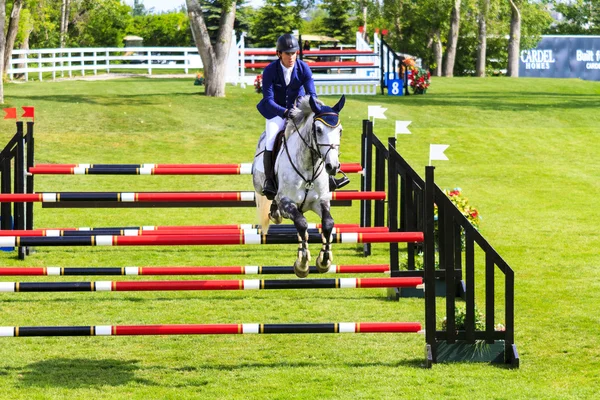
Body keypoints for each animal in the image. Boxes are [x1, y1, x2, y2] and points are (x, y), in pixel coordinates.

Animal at [253, 95, 346, 278]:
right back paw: (275, 213)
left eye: (339, 130)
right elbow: (302, 224)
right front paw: (302, 264)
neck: (309, 166)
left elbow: (328, 224)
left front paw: (324, 261)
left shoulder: (320, 201)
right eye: (318, 130)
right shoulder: (286, 202)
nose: (332, 166)